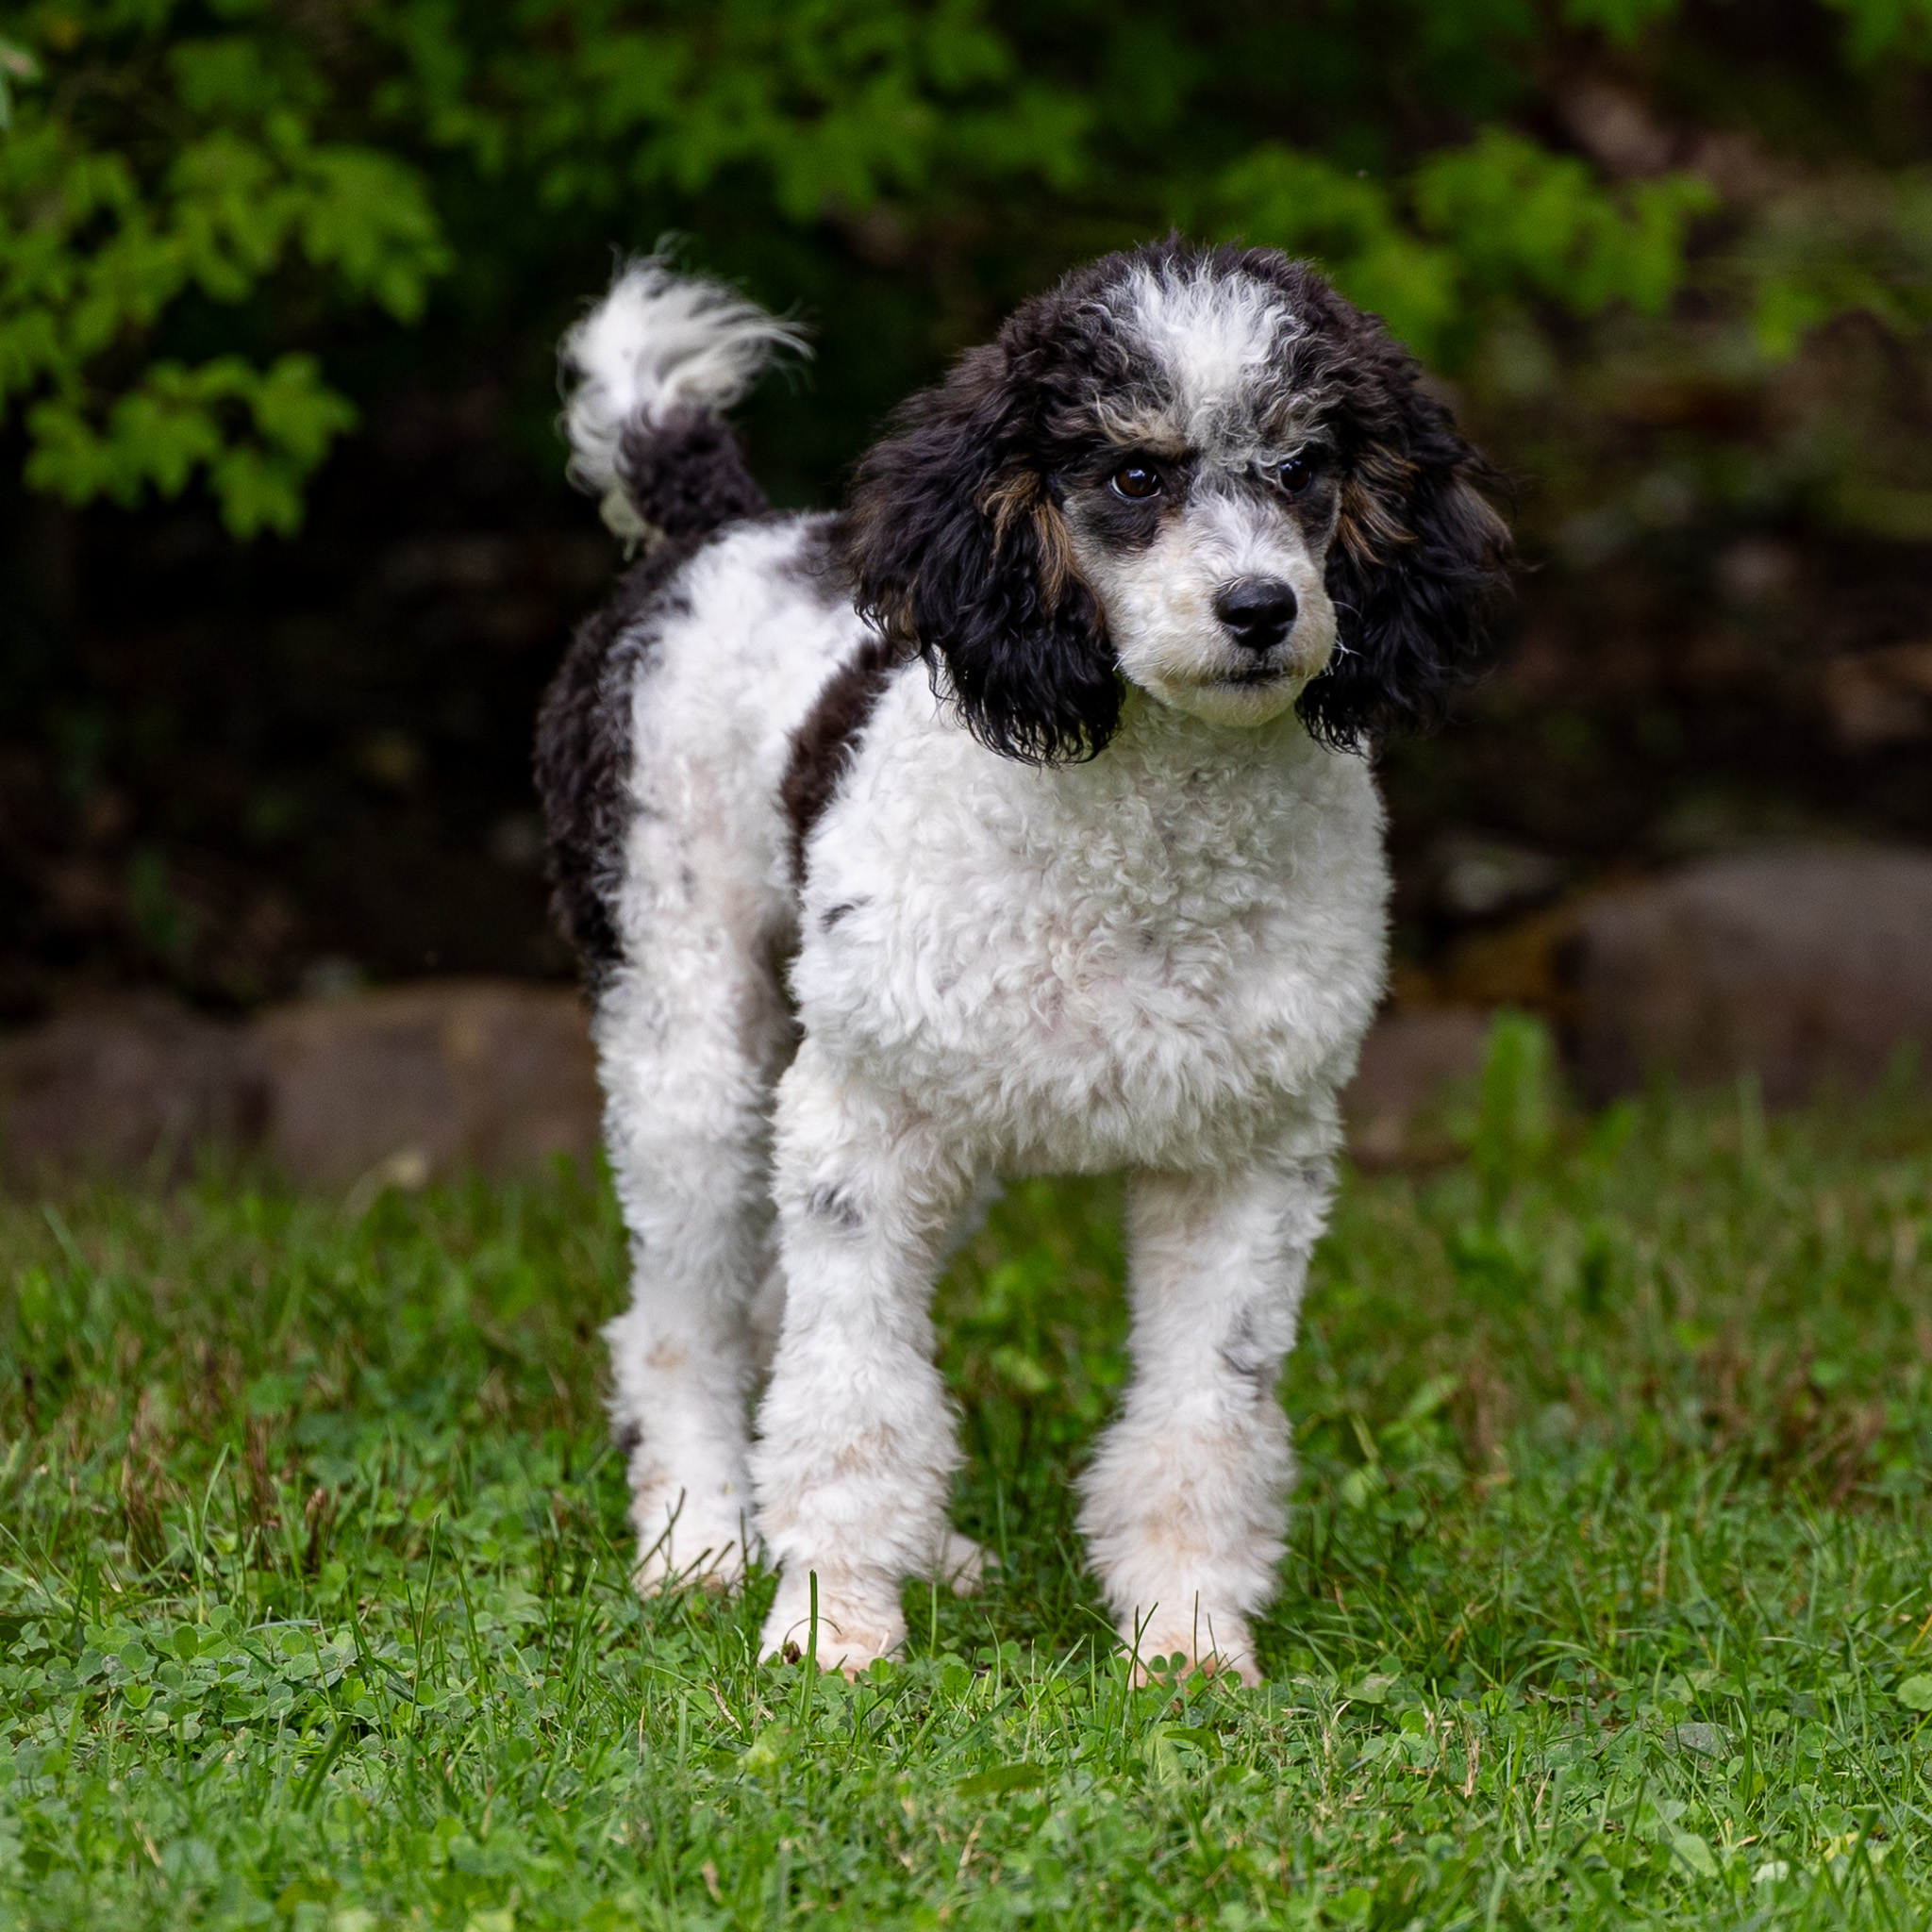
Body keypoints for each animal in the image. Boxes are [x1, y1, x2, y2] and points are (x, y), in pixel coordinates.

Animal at [533, 237, 1507, 1676]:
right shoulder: (860, 1127)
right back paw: (700, 1535)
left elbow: (1202, 1417)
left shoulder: (1241, 1159)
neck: (1138, 849)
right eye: (1134, 475)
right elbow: (850, 1401)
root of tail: (715, 525)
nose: (1262, 609)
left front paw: (1188, 1633)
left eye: (1304, 465)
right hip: (688, 1044)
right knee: (681, 1321)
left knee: (773, 1312)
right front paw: (828, 1628)